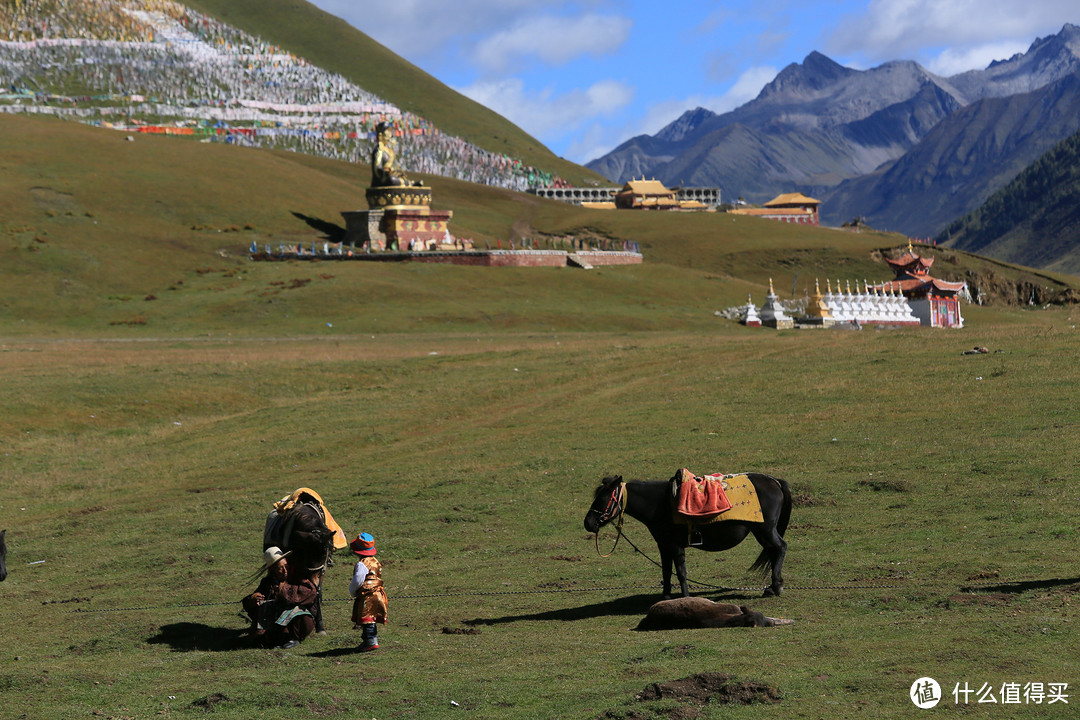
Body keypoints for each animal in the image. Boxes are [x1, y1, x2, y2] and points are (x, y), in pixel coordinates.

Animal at [587, 474, 790, 600]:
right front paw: (666, 597)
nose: (588, 523)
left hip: (765, 529)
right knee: (773, 551)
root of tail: (774, 481)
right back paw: (773, 586)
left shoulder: (676, 546)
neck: (661, 504)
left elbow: (681, 572)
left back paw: (775, 587)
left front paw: (685, 597)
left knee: (780, 547)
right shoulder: (664, 545)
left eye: (602, 499)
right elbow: (666, 571)